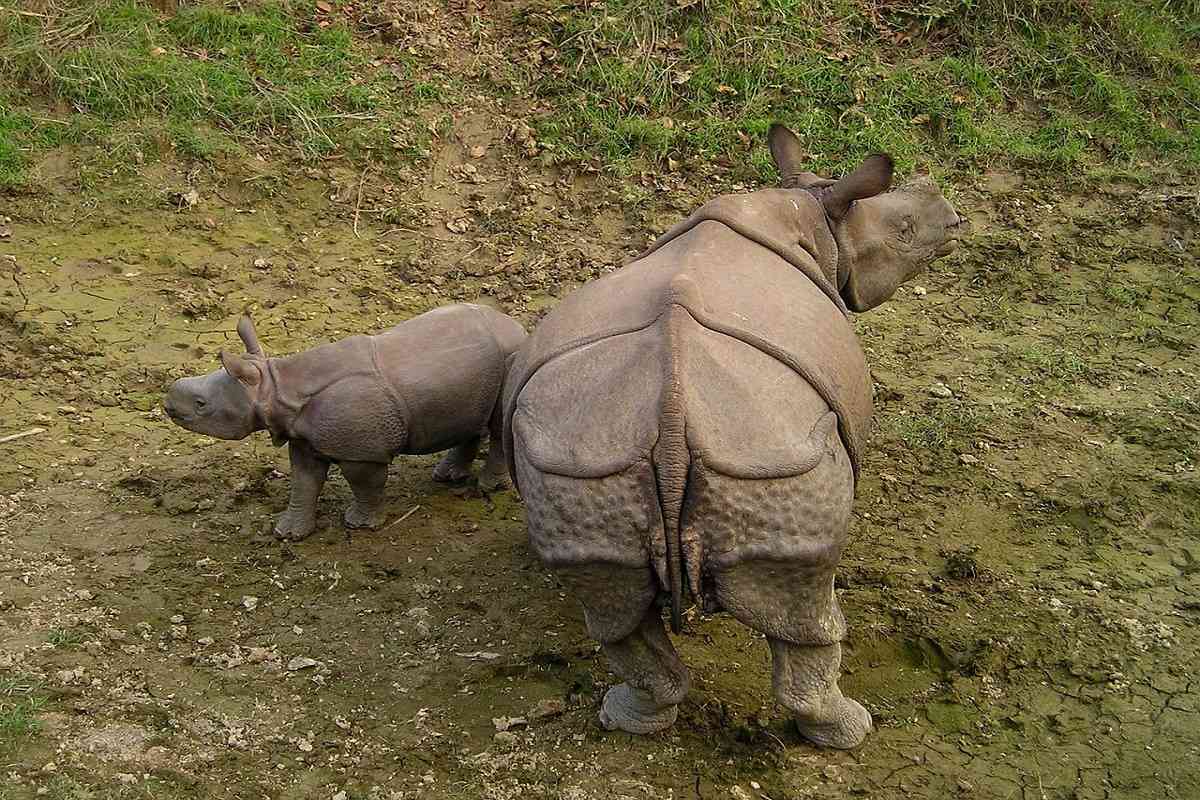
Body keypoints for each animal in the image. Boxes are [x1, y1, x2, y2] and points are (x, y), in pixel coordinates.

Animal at [164, 303, 525, 542]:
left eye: (201, 405)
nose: (168, 404)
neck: (275, 386)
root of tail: (516, 326)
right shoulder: (303, 439)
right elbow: (304, 481)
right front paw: (288, 533)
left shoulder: (362, 452)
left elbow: (363, 483)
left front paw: (361, 525)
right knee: (471, 417)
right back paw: (447, 477)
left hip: (511, 356)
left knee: (498, 424)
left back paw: (488, 487)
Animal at [504, 126, 964, 753]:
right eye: (905, 230)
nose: (955, 217)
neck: (814, 209)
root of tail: (671, 417)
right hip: (775, 460)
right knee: (808, 612)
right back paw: (850, 731)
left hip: (584, 463)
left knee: (614, 609)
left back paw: (628, 717)